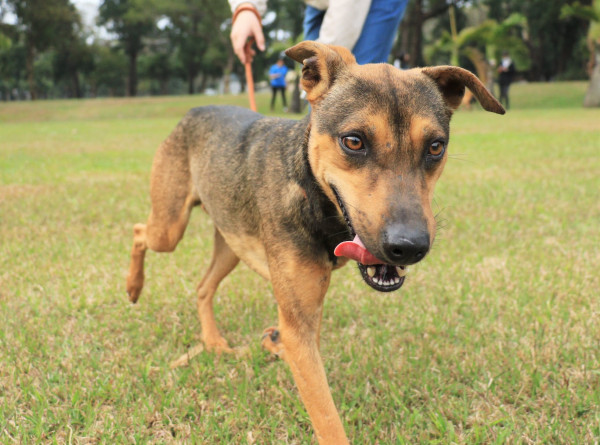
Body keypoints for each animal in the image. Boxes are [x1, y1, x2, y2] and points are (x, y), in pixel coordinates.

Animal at [126, 40, 506, 440]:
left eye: (436, 146)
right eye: (353, 141)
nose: (410, 246)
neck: (310, 191)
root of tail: (196, 108)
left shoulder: (309, 314)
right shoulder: (298, 327)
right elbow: (326, 415)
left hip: (231, 243)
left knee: (202, 287)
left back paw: (213, 343)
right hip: (170, 226)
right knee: (139, 232)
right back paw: (134, 287)